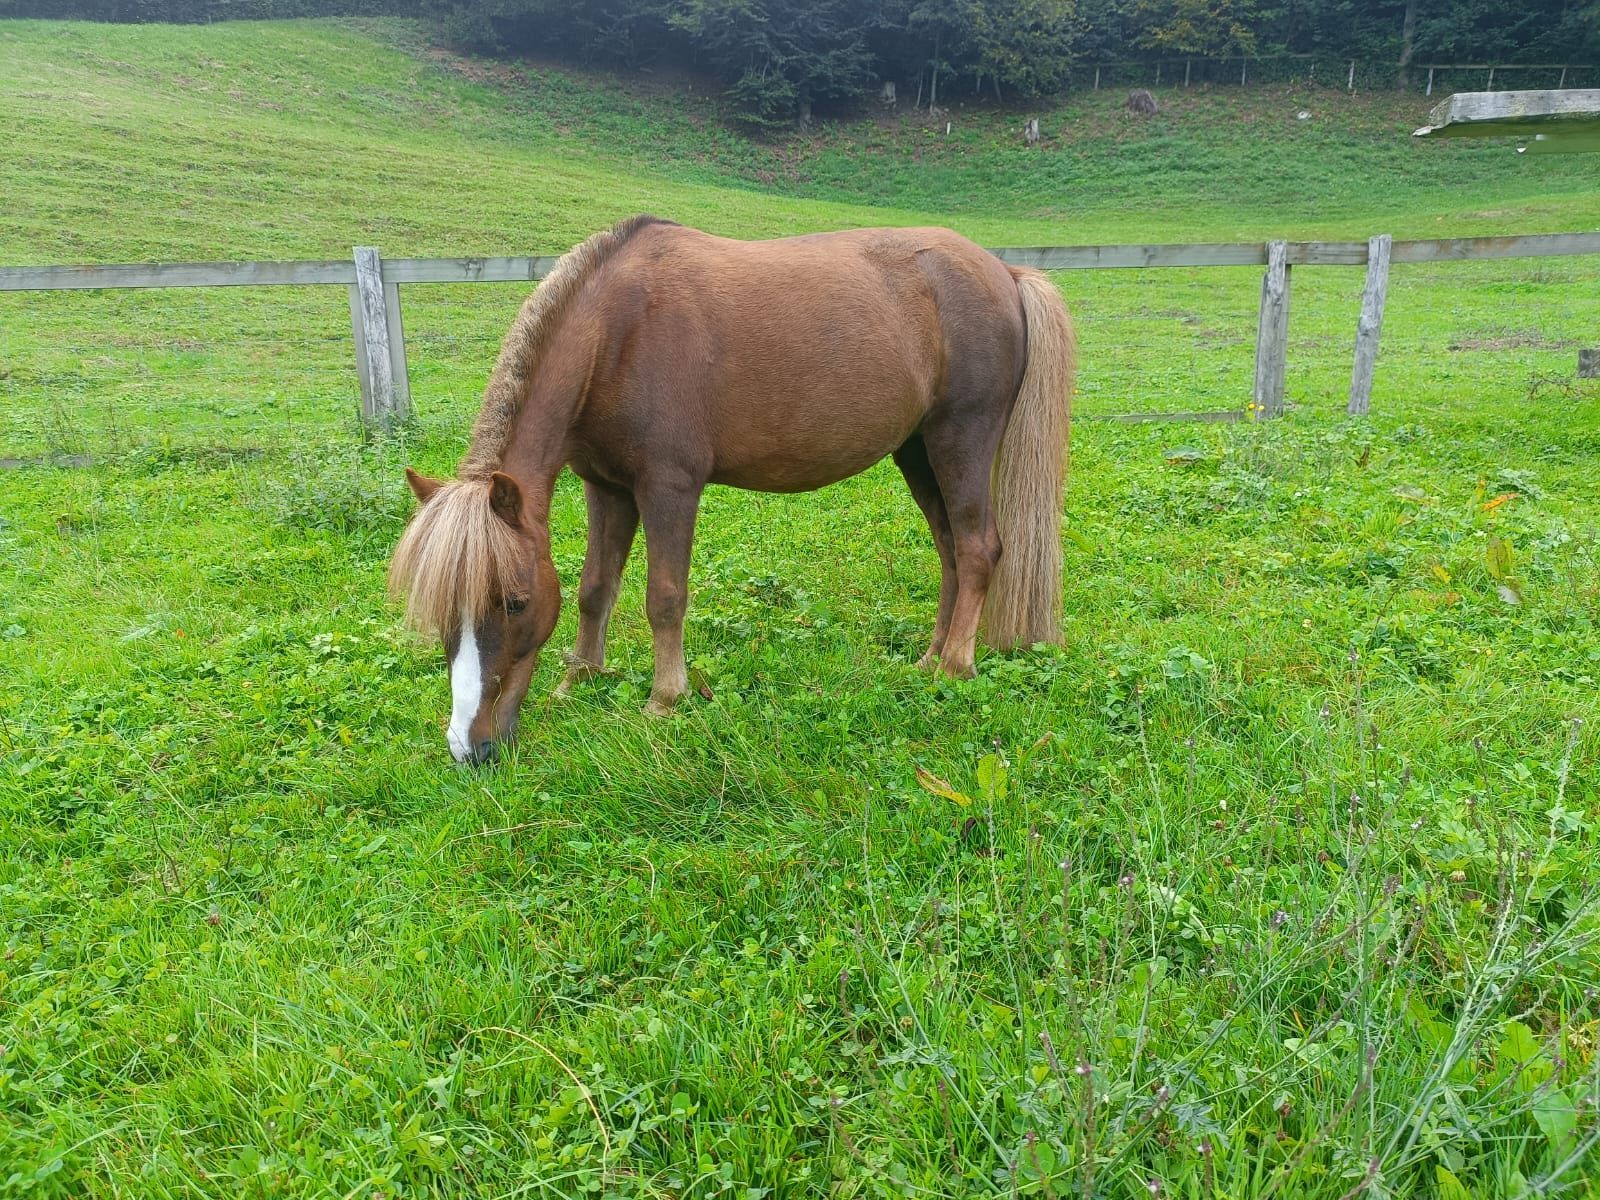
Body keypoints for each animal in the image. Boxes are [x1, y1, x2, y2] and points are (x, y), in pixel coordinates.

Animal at [389, 216, 1075, 764]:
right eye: (443, 608)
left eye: (515, 603)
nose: (469, 746)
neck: (617, 333)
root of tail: (1005, 271)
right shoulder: (606, 488)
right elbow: (594, 589)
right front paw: (579, 678)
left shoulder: (668, 487)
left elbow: (664, 597)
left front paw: (665, 699)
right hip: (918, 452)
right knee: (951, 550)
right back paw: (930, 657)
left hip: (961, 439)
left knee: (979, 548)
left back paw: (955, 667)